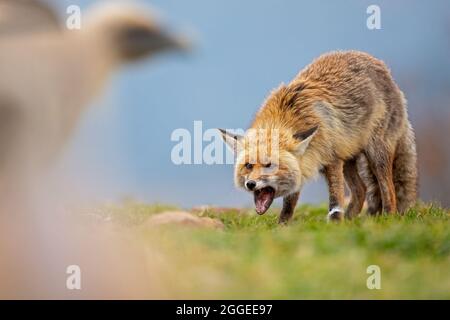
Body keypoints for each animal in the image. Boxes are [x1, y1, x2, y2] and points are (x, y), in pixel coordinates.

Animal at [220, 51, 416, 224]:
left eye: (269, 165)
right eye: (248, 166)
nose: (251, 184)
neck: (285, 116)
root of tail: (385, 71)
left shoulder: (332, 160)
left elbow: (335, 199)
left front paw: (335, 222)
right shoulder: (305, 164)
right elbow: (289, 205)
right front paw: (282, 227)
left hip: (376, 156)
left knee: (388, 189)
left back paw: (388, 217)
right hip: (348, 158)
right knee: (361, 190)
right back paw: (350, 221)